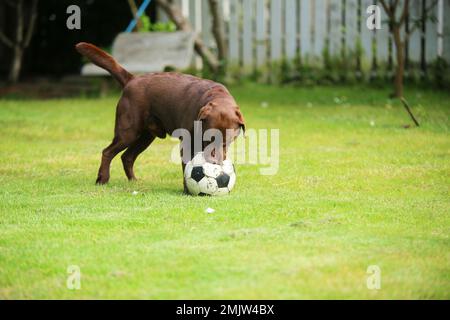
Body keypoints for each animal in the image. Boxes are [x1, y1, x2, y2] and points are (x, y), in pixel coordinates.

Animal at [75, 42, 244, 188]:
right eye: (208, 138)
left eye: (226, 142)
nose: (214, 162)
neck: (215, 96)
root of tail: (132, 79)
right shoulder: (187, 144)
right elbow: (187, 168)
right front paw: (188, 191)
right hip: (128, 132)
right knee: (107, 152)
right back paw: (102, 179)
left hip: (146, 136)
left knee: (127, 156)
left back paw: (133, 181)